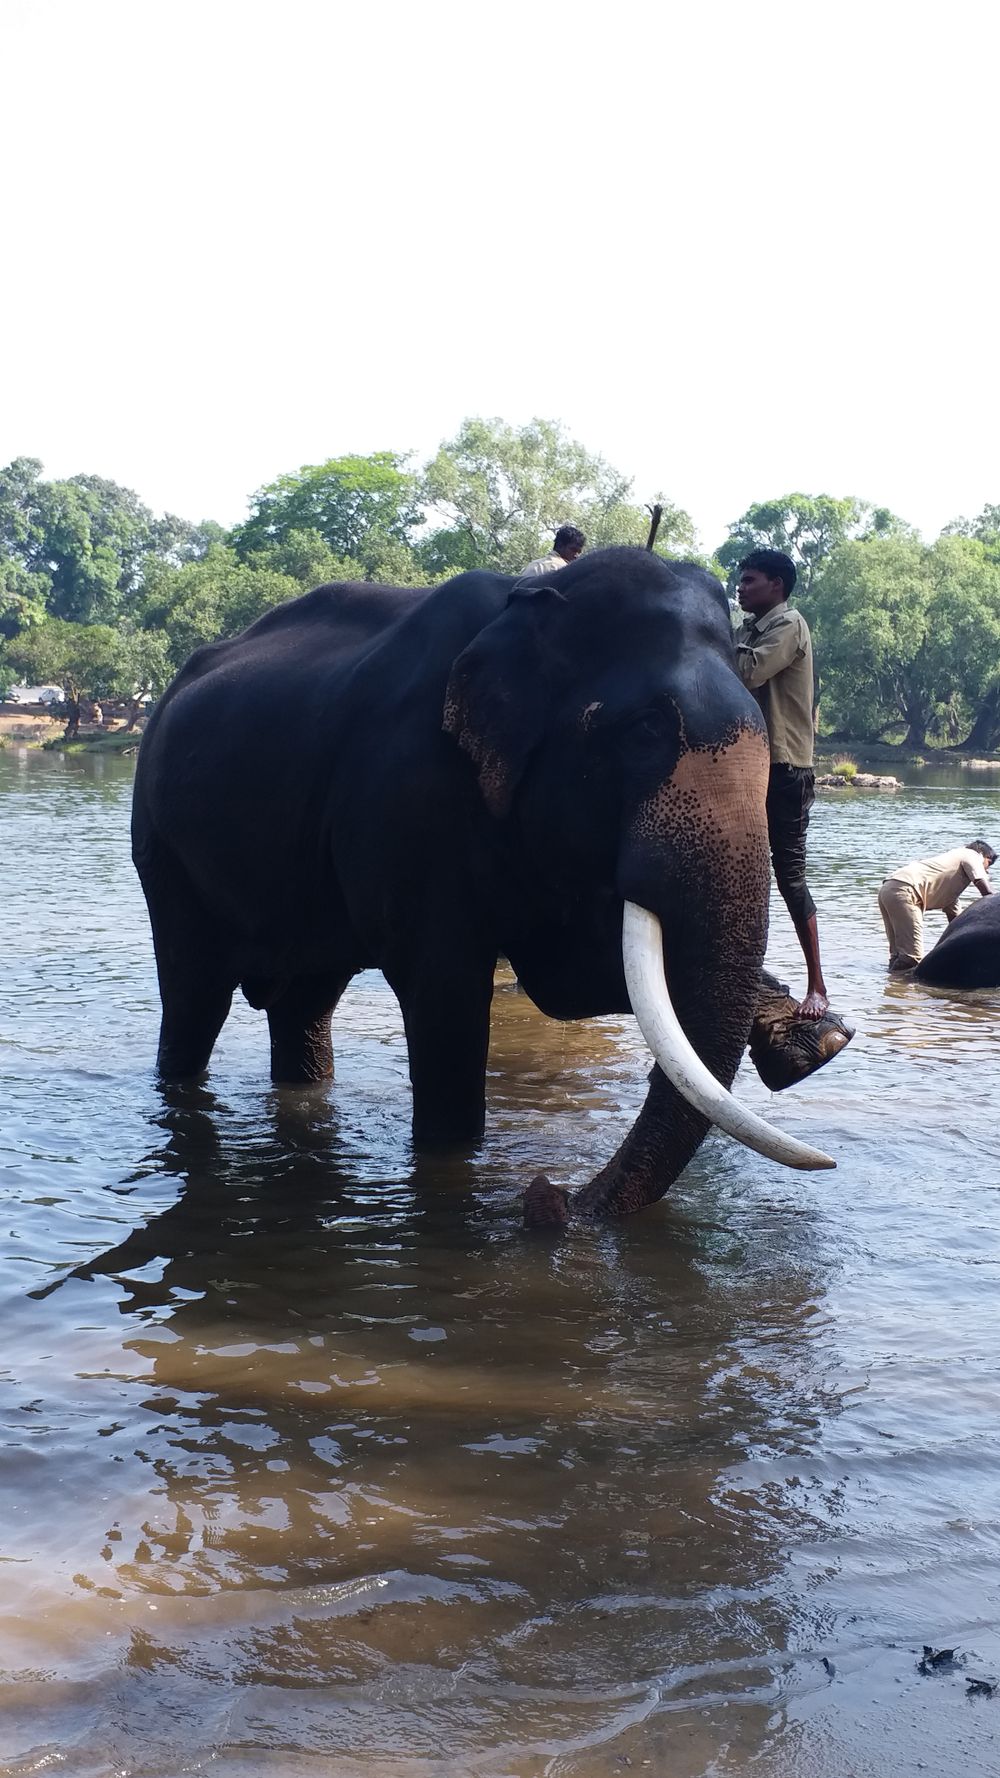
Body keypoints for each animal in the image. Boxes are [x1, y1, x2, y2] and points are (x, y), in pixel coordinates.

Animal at [131, 546, 839, 1225]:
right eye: (645, 732)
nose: (547, 1198)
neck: (530, 605)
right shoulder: (405, 792)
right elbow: (447, 991)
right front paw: (451, 1159)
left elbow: (571, 977)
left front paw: (810, 1042)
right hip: (161, 847)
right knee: (196, 997)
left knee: (305, 1004)